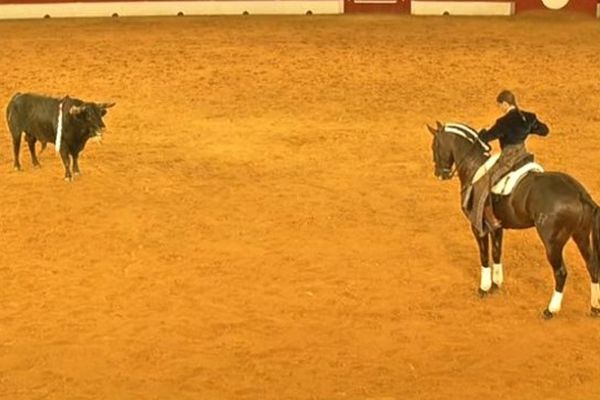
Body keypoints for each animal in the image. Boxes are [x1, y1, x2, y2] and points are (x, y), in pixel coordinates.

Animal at [426, 120, 600, 318]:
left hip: (553, 244)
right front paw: (496, 285)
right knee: (592, 265)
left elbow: (484, 255)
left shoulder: (478, 227)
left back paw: (550, 310)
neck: (475, 167)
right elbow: (496, 253)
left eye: (434, 145)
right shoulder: (496, 227)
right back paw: (594, 307)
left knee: (561, 273)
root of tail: (579, 193)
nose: (440, 173)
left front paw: (484, 288)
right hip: (581, 235)